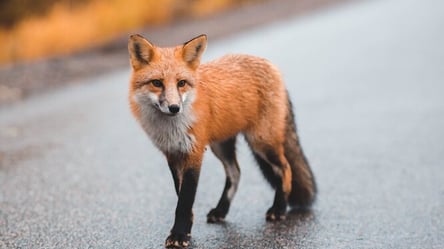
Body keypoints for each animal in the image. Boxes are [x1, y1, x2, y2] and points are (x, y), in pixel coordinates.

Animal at [126, 34, 318, 248]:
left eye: (181, 83)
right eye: (157, 83)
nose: (175, 108)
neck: (172, 128)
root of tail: (271, 65)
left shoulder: (194, 152)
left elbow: (185, 200)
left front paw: (179, 234)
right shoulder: (173, 154)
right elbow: (181, 196)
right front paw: (186, 229)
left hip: (261, 142)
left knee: (285, 168)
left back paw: (279, 209)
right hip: (221, 146)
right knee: (236, 173)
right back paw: (221, 210)